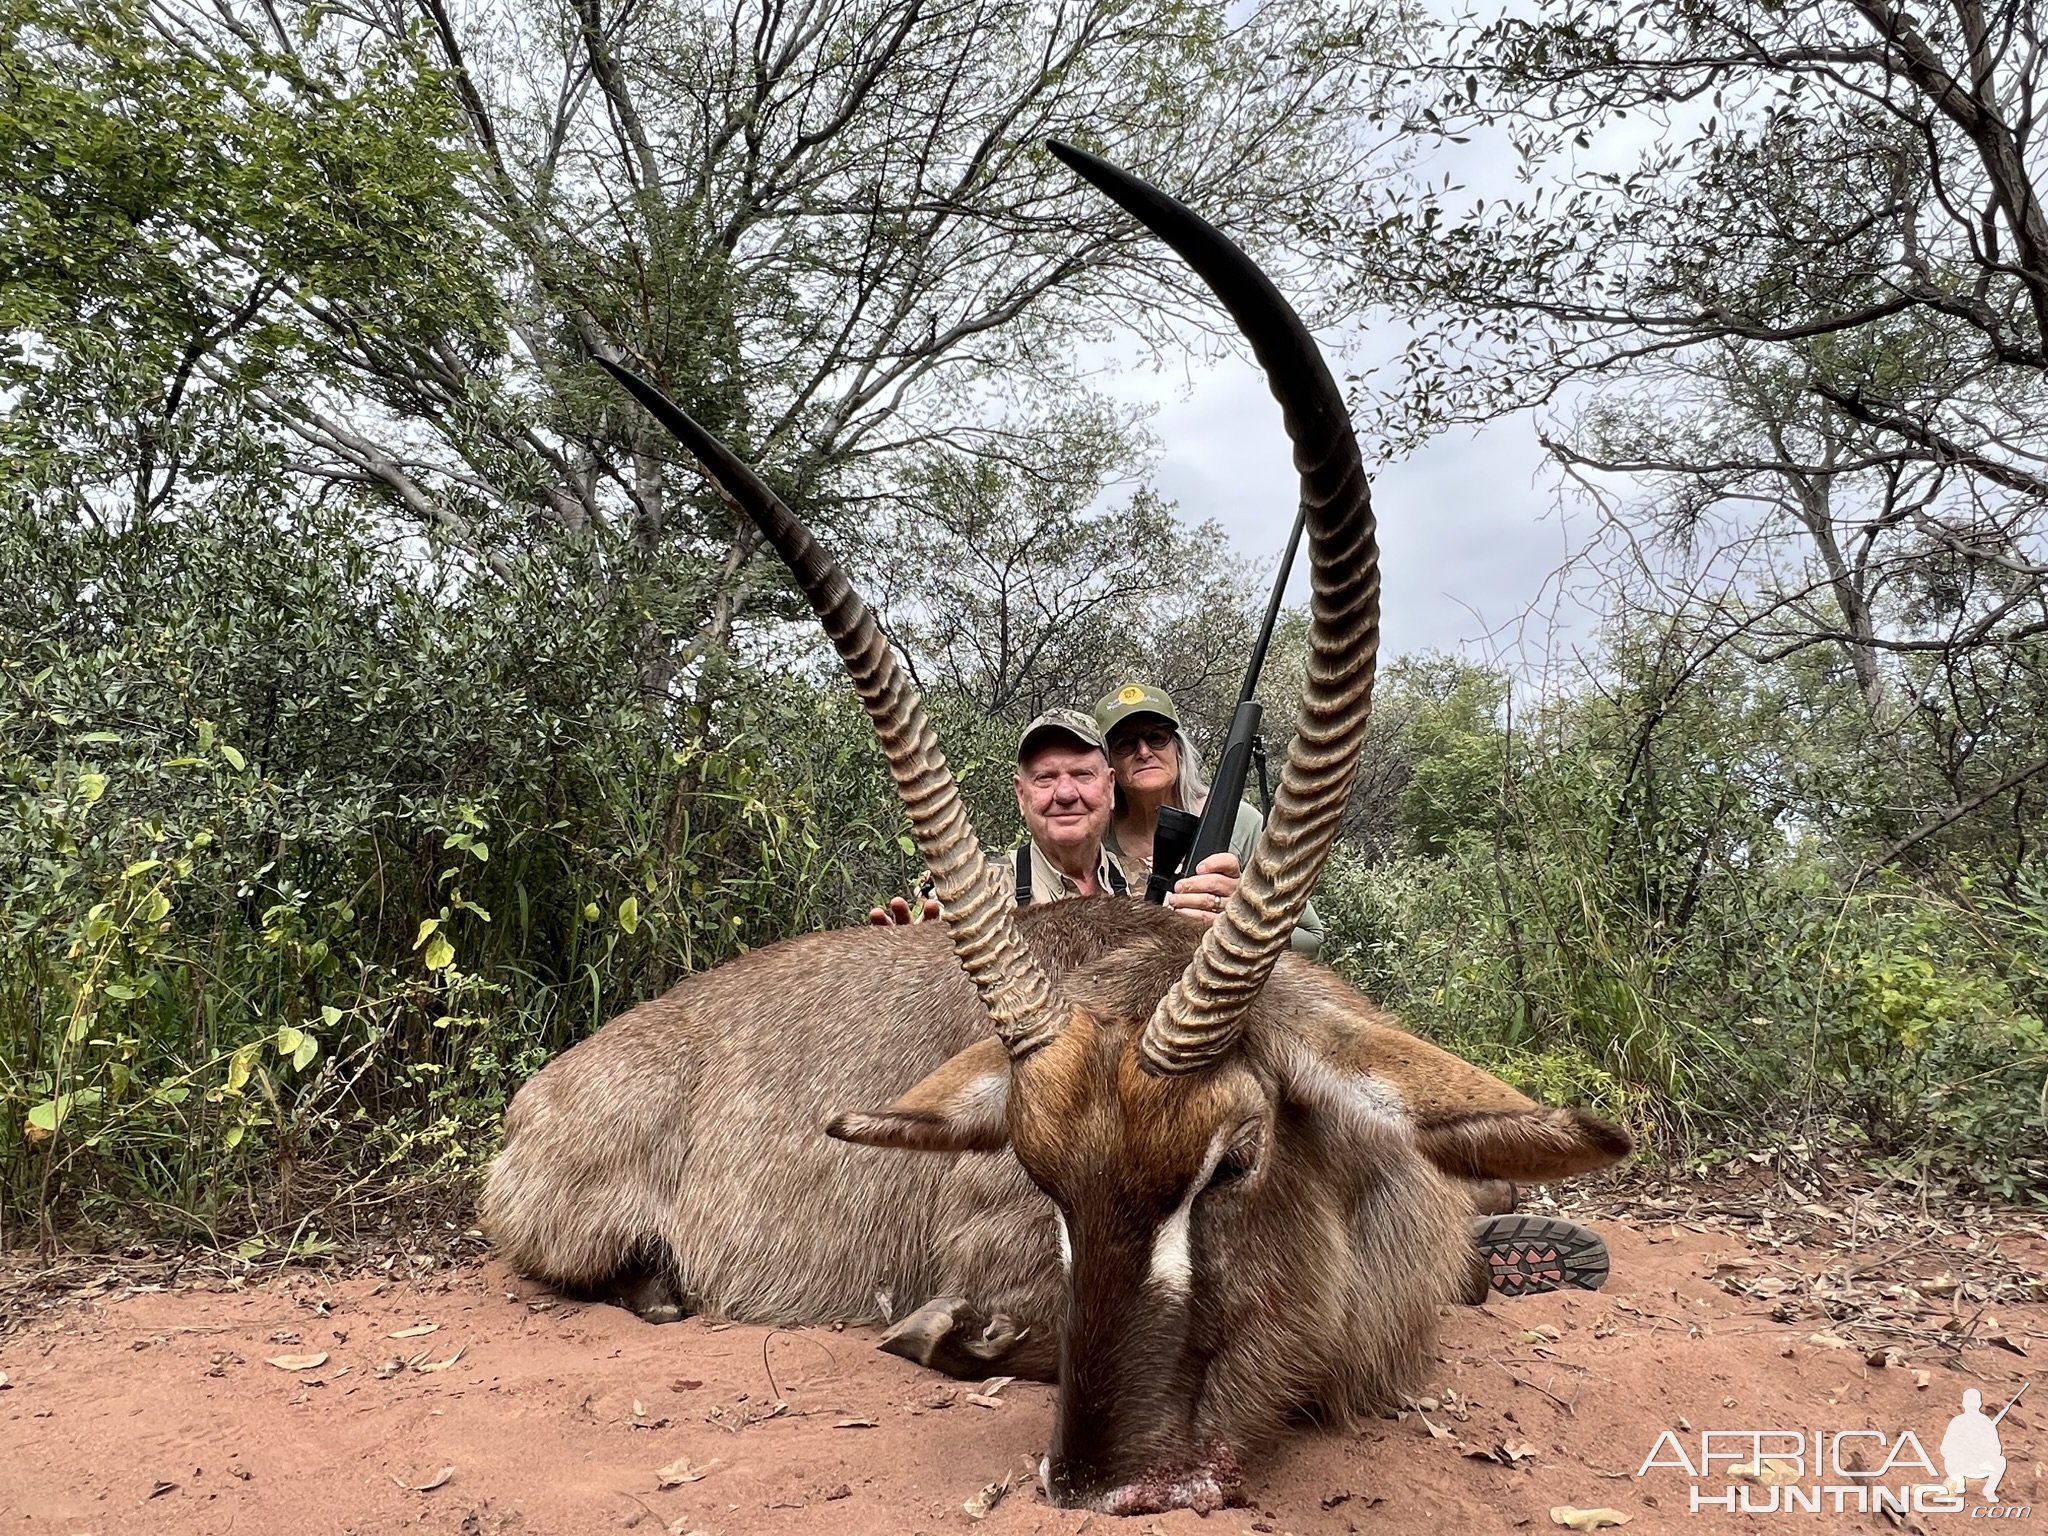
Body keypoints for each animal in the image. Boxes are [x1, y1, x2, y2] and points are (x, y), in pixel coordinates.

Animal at [483, 141, 1630, 1515]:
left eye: (1232, 1163)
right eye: (1041, 1179)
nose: (1096, 1482)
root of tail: (541, 1093)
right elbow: (955, 1326)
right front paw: (940, 1337)